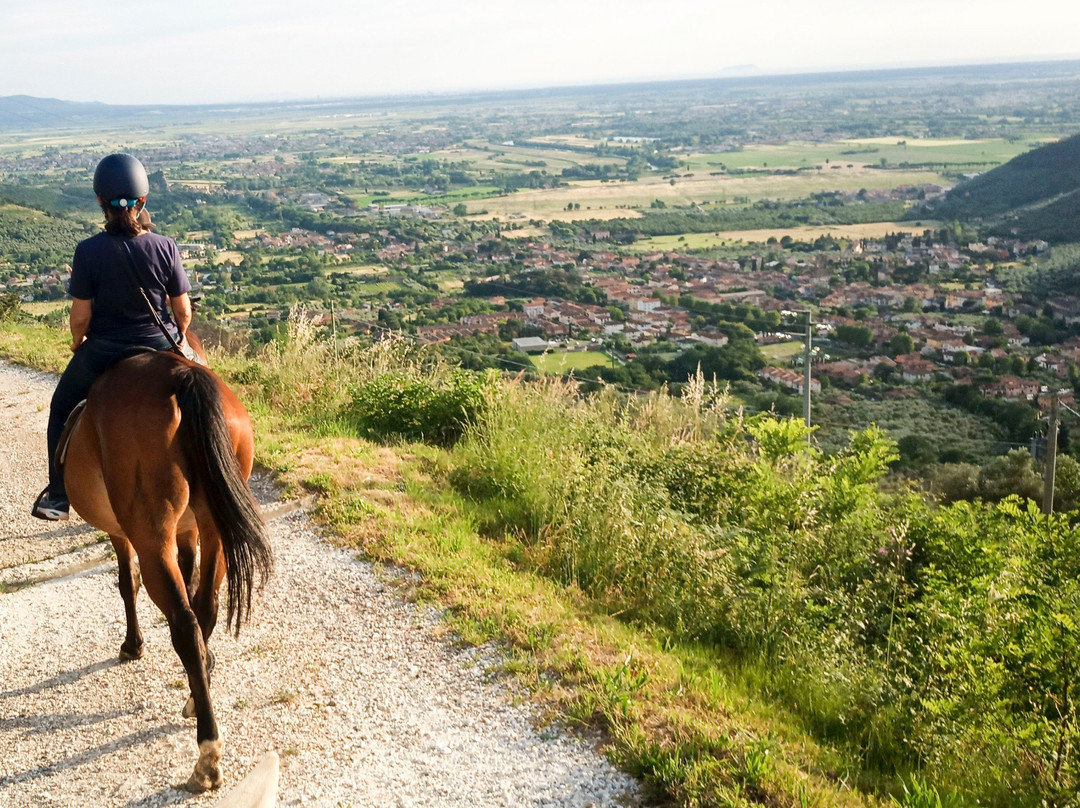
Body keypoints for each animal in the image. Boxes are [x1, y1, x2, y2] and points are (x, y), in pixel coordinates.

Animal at [61, 332, 272, 790]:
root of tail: (181, 375)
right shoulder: (189, 532)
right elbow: (193, 584)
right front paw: (206, 670)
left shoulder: (123, 533)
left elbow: (128, 583)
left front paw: (133, 645)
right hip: (213, 527)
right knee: (205, 608)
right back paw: (197, 693)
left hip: (150, 534)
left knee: (184, 623)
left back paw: (207, 755)